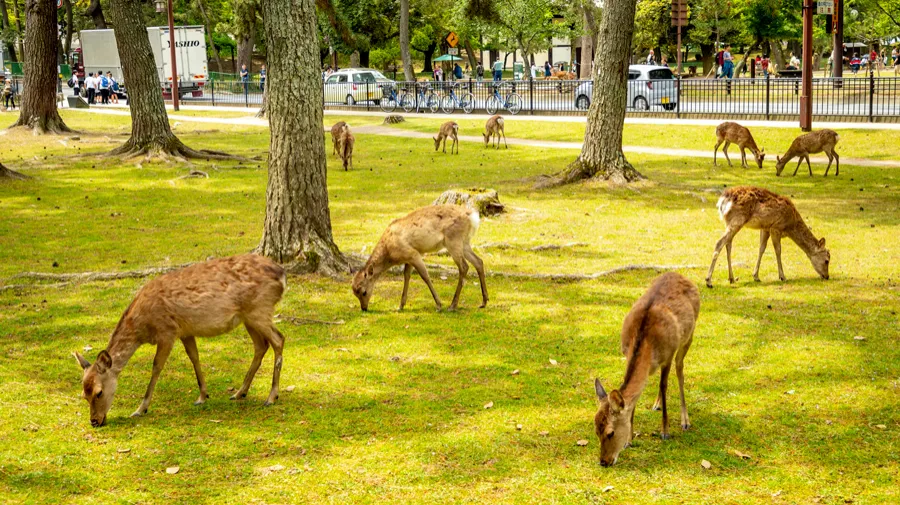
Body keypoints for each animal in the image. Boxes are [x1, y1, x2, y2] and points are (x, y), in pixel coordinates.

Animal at [72, 252, 286, 426]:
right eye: (83, 394)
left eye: (99, 392)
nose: (94, 421)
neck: (142, 327)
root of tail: (282, 275)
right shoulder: (185, 331)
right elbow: (194, 357)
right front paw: (203, 396)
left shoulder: (167, 332)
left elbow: (156, 367)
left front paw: (141, 409)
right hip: (248, 317)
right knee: (261, 345)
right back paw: (240, 392)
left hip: (259, 309)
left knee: (278, 339)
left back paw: (271, 396)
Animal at [356, 205, 488, 312]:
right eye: (355, 293)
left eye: (363, 292)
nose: (364, 308)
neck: (390, 253)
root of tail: (473, 217)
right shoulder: (408, 258)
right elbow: (406, 276)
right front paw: (400, 306)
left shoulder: (413, 253)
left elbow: (425, 276)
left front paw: (439, 305)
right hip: (464, 242)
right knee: (479, 261)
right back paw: (484, 301)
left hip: (453, 240)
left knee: (464, 266)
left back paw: (452, 305)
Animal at [596, 274, 700, 466]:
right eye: (596, 431)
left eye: (610, 432)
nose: (604, 462)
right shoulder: (627, 354)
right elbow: (635, 397)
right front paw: (629, 440)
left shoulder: (668, 355)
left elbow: (664, 385)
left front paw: (665, 432)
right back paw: (656, 404)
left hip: (689, 335)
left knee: (679, 369)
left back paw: (685, 421)